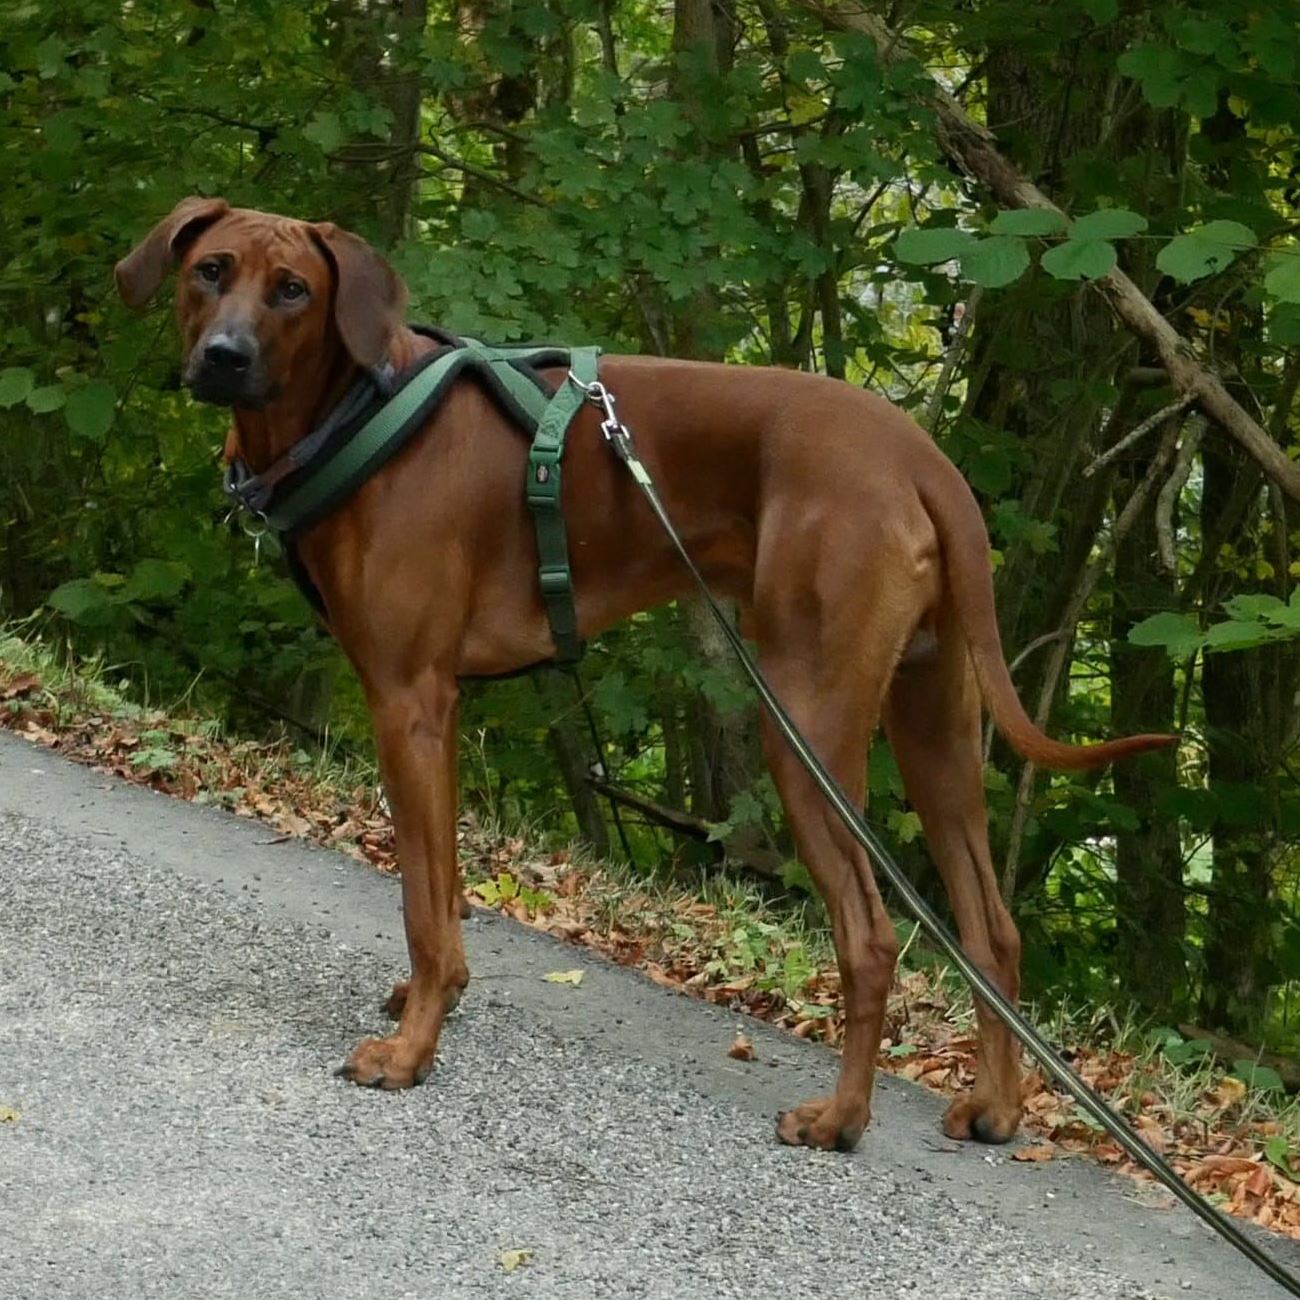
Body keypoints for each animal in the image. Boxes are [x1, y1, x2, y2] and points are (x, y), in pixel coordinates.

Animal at [116, 197, 1175, 1154]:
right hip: (935, 725)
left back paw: (840, 1120)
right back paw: (995, 1107)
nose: (224, 356)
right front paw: (436, 999)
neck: (356, 407)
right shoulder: (441, 716)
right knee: (990, 932)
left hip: (803, 721)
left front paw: (411, 1053)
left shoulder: (407, 699)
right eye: (211, 270)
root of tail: (925, 457)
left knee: (871, 938)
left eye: (292, 289)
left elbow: (420, 901)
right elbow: (444, 887)